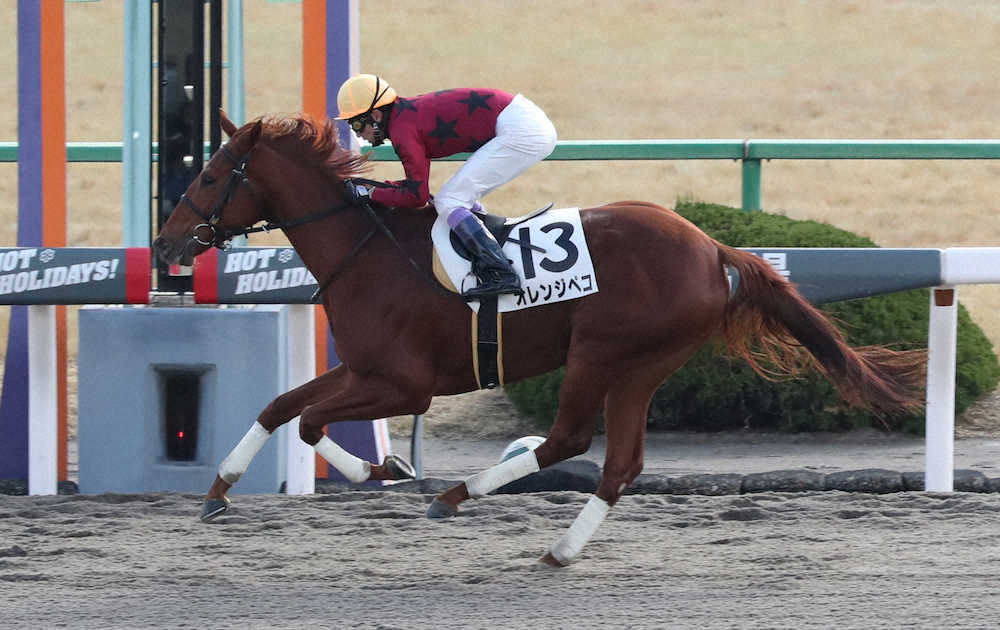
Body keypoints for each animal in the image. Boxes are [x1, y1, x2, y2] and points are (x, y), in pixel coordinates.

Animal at [152, 111, 926, 567]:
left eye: (212, 175)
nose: (164, 244)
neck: (366, 251)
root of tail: (713, 249)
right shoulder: (365, 369)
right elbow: (280, 407)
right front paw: (218, 490)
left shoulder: (406, 384)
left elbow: (311, 419)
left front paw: (385, 469)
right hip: (643, 366)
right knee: (619, 465)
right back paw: (560, 548)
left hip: (602, 351)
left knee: (567, 442)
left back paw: (457, 495)